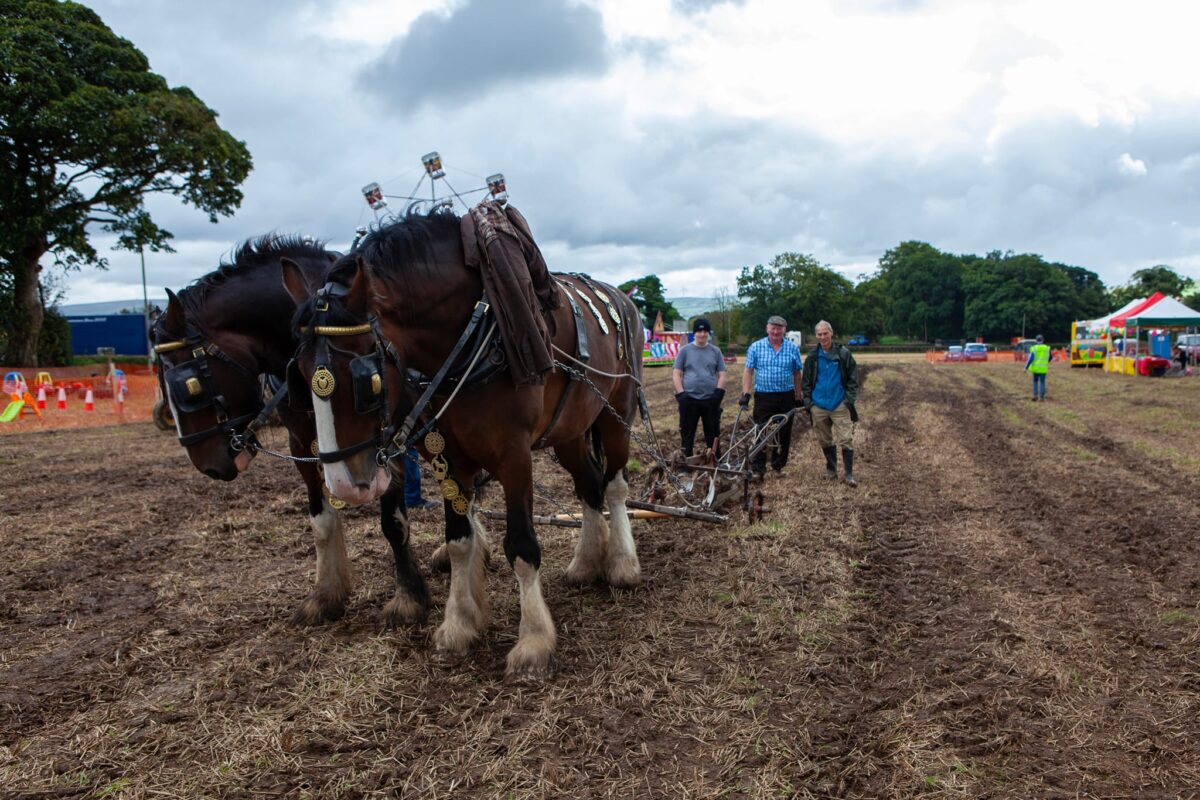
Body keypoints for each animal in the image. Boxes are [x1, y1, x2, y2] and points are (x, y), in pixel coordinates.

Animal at [148, 235, 432, 628]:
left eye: (188, 387)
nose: (210, 466)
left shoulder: (388, 440)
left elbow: (393, 521)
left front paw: (408, 598)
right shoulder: (301, 443)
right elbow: (320, 520)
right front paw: (325, 596)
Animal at [283, 209, 648, 681]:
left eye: (367, 379)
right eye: (299, 374)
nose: (343, 485)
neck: (472, 334)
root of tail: (622, 297)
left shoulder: (514, 456)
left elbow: (522, 547)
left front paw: (533, 641)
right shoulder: (448, 457)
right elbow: (458, 541)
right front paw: (458, 623)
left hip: (616, 412)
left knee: (615, 484)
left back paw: (622, 562)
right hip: (568, 430)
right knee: (589, 486)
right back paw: (586, 562)